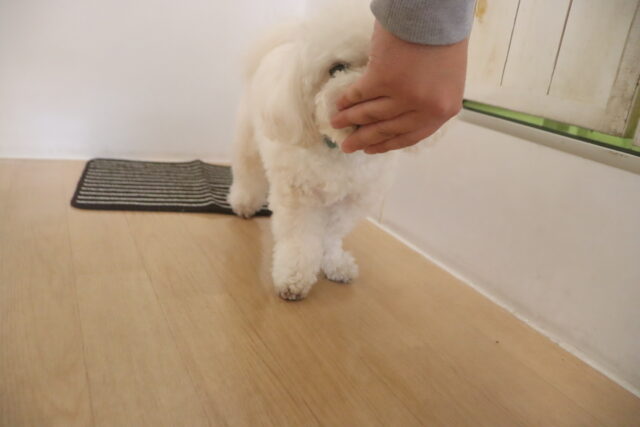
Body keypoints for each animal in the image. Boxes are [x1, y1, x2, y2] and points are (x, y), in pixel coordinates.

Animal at [228, 2, 399, 300]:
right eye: (337, 68)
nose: (356, 96)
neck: (339, 151)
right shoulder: (299, 198)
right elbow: (299, 241)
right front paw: (293, 277)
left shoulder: (349, 202)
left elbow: (330, 236)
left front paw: (335, 263)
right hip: (248, 140)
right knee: (248, 174)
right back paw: (244, 203)